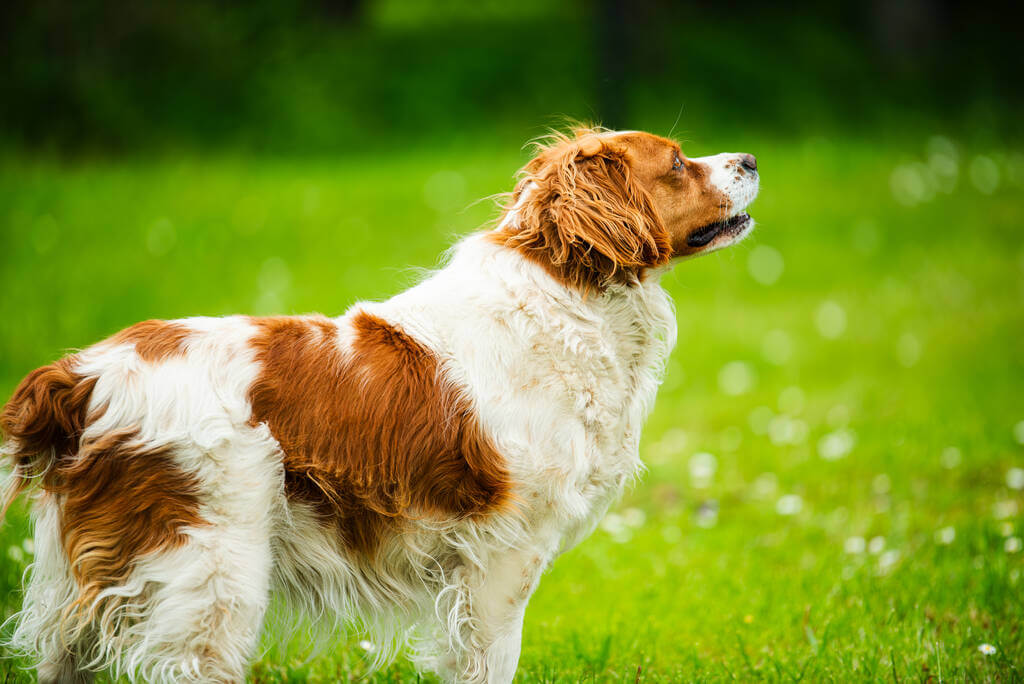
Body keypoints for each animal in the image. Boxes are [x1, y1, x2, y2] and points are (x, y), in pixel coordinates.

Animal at [0, 126, 753, 679]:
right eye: (677, 164)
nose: (748, 157)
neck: (565, 299)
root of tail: (78, 376)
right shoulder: (503, 557)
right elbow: (489, 661)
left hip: (93, 589)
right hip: (212, 577)